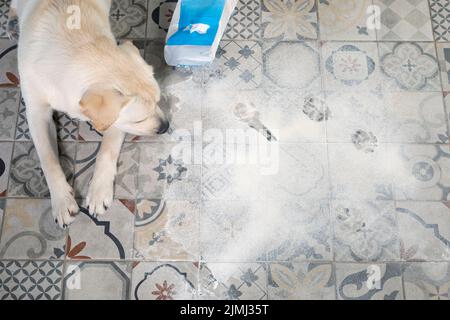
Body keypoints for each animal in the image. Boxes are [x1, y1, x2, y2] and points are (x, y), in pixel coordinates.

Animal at [10, 0, 170, 229]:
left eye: (158, 100)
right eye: (139, 119)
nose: (166, 126)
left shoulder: (114, 121)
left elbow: (106, 152)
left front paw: (98, 192)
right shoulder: (35, 112)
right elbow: (48, 159)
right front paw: (61, 201)